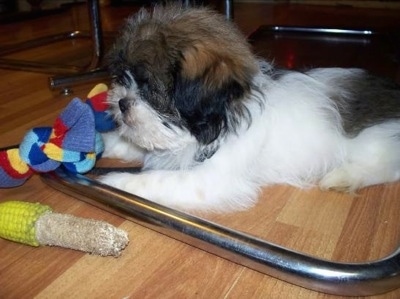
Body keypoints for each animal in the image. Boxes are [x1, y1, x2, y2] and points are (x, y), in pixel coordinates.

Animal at [101, 4, 400, 213]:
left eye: (150, 88)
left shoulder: (209, 178)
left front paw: (114, 183)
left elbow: (156, 179)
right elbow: (132, 144)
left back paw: (343, 177)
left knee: (387, 166)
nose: (122, 102)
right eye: (123, 79)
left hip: (375, 141)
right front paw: (99, 142)